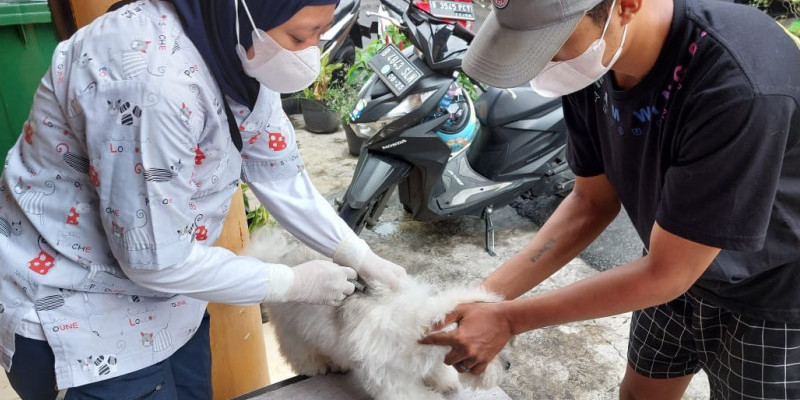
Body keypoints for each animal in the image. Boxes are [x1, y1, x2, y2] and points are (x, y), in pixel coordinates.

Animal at [245, 230, 512, 400]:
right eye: (489, 349)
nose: (508, 365)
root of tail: (276, 256)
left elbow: (436, 371)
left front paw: (443, 379)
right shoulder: (392, 379)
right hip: (292, 329)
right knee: (297, 351)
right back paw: (317, 365)